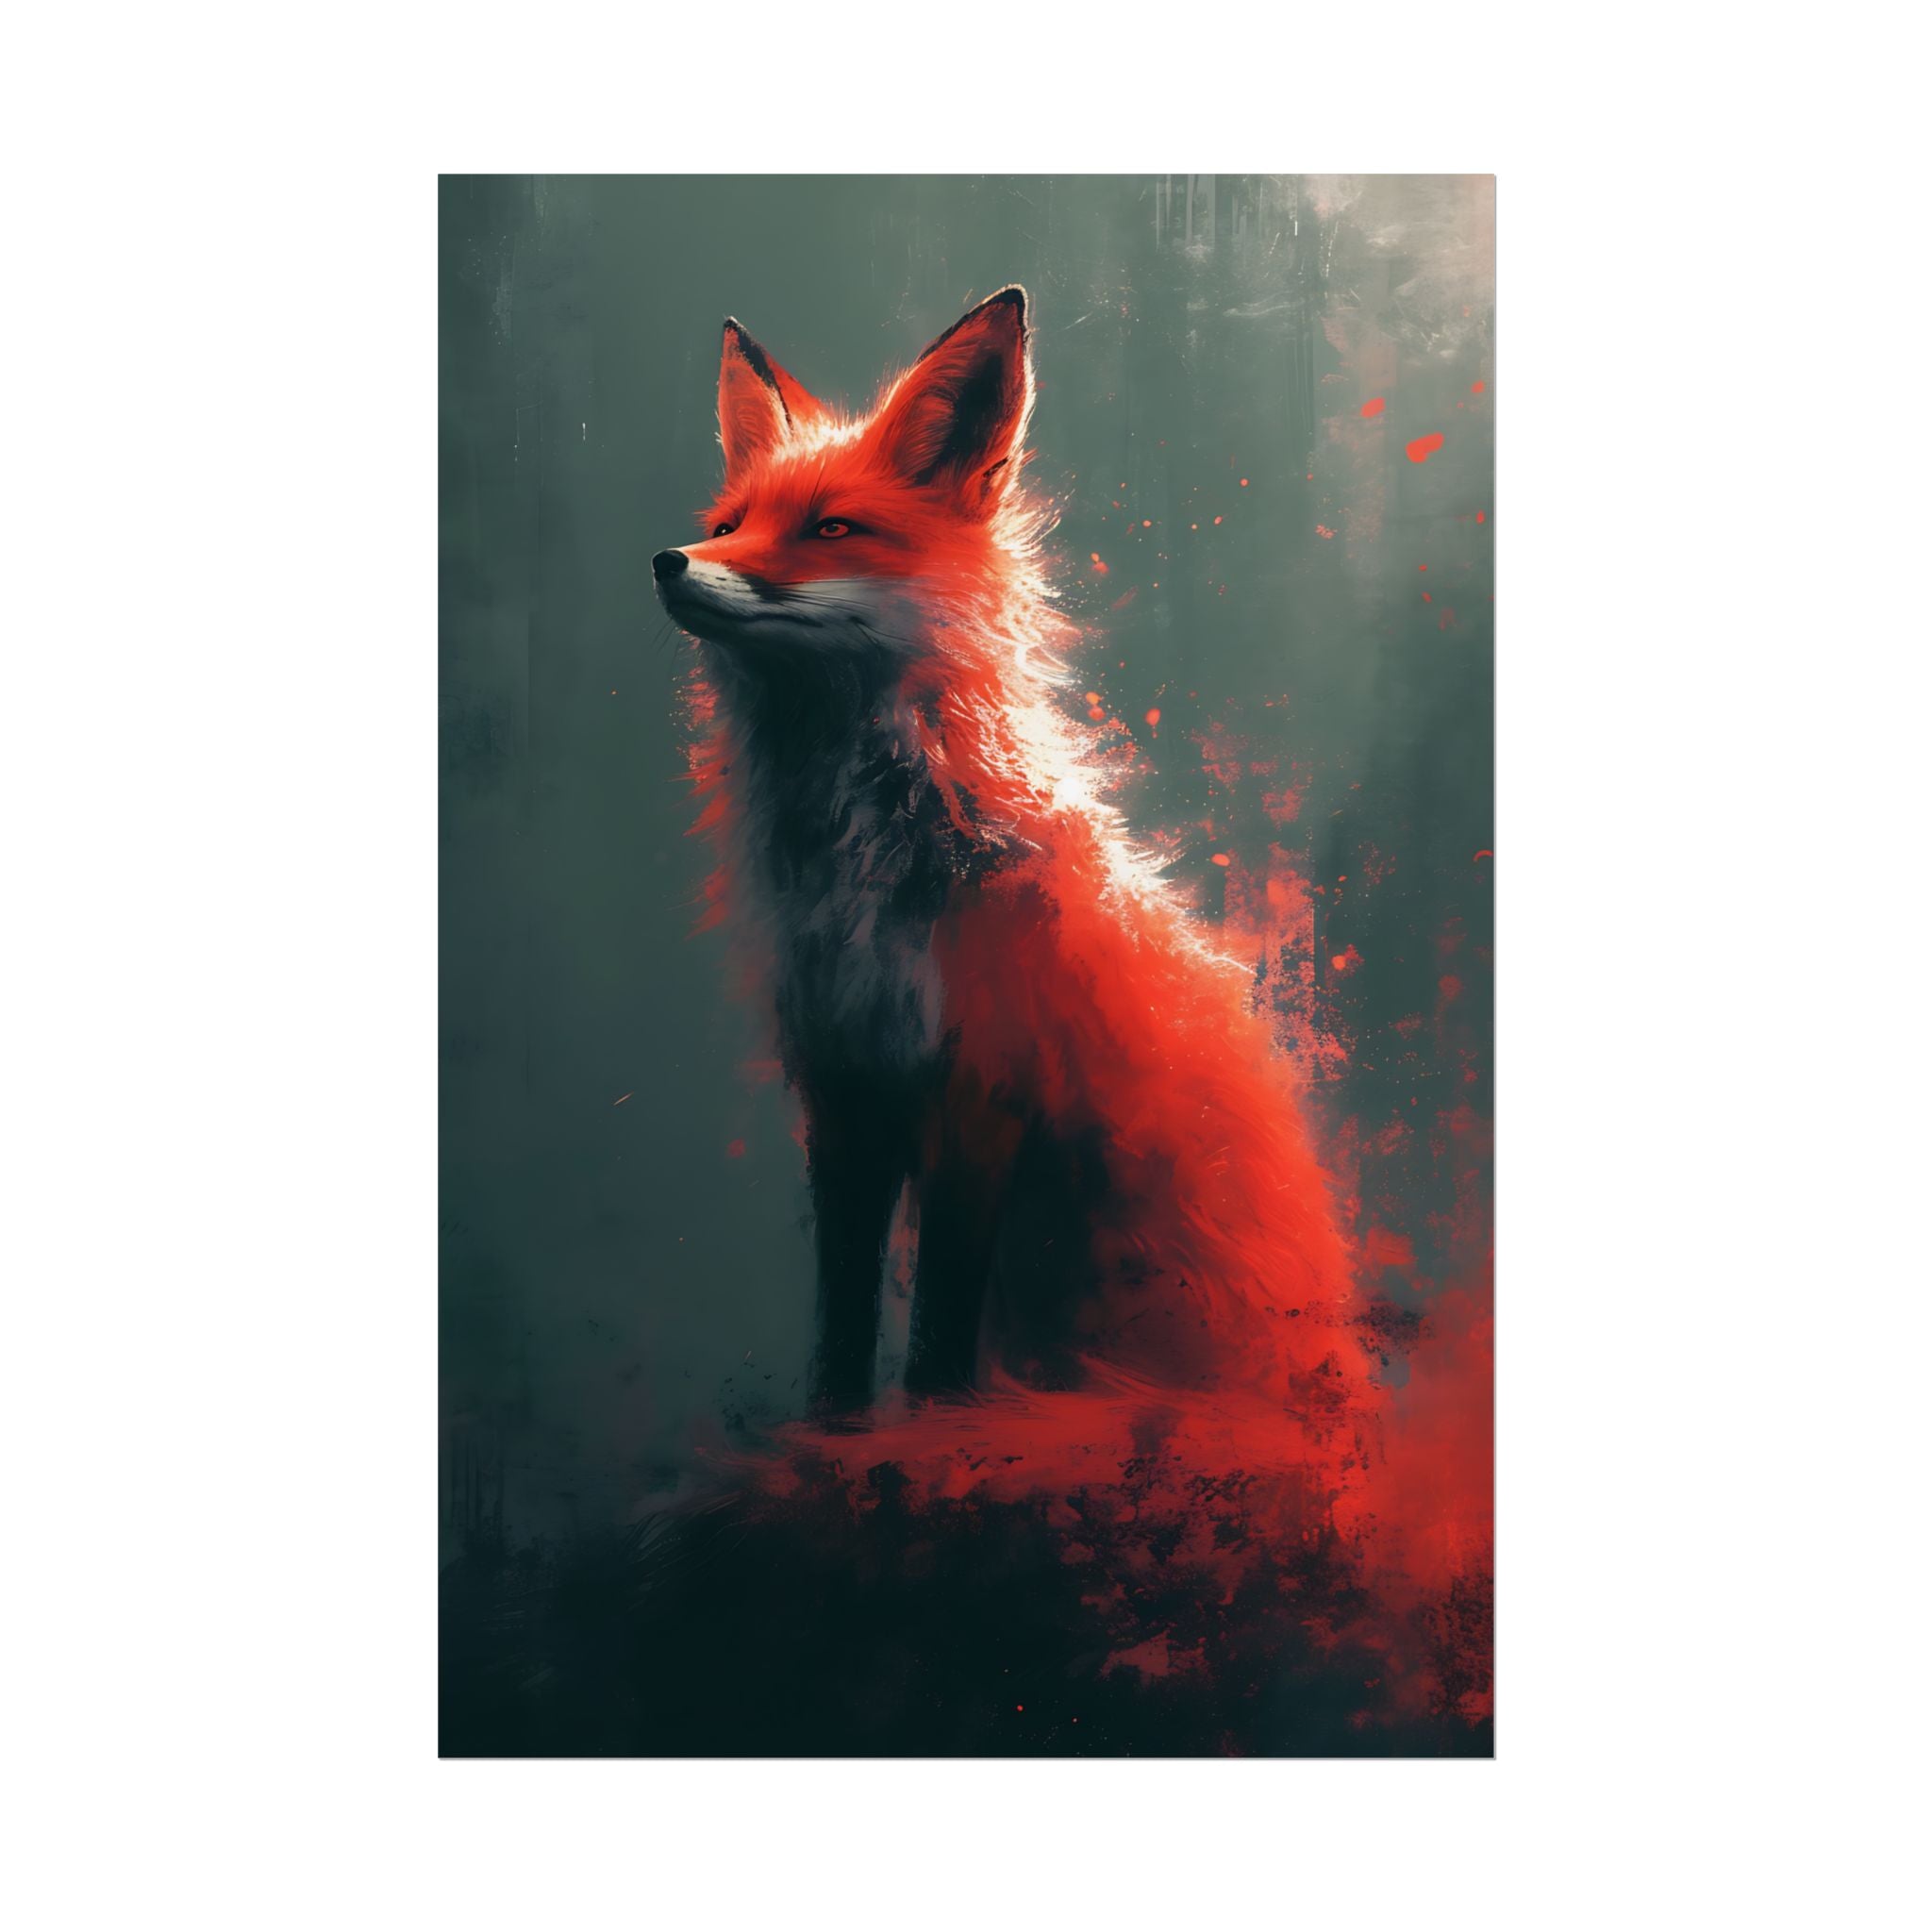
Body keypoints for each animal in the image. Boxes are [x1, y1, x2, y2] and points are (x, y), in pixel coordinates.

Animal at [652, 286, 1377, 1440]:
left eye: (830, 529)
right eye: (729, 526)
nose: (669, 561)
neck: (866, 871)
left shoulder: (982, 1087)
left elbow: (939, 1333)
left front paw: (931, 1432)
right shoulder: (843, 1087)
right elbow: (842, 1315)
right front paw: (834, 1434)